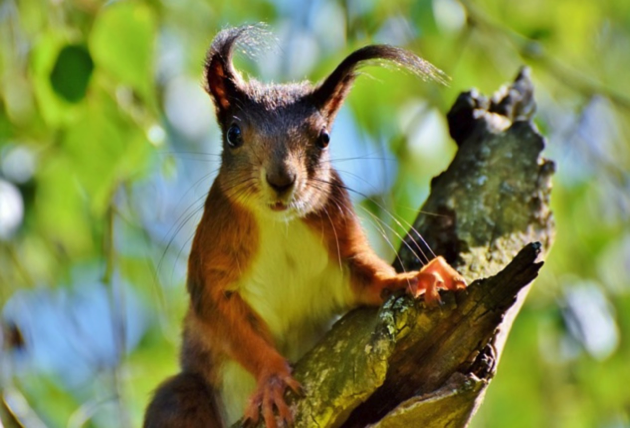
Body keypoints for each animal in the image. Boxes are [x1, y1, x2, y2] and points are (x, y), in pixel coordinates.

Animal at [144, 25, 470, 426]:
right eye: (234, 134)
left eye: (324, 137)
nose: (281, 180)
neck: (279, 222)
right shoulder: (213, 266)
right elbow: (228, 322)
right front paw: (271, 377)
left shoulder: (340, 244)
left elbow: (368, 277)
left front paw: (416, 277)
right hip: (183, 397)